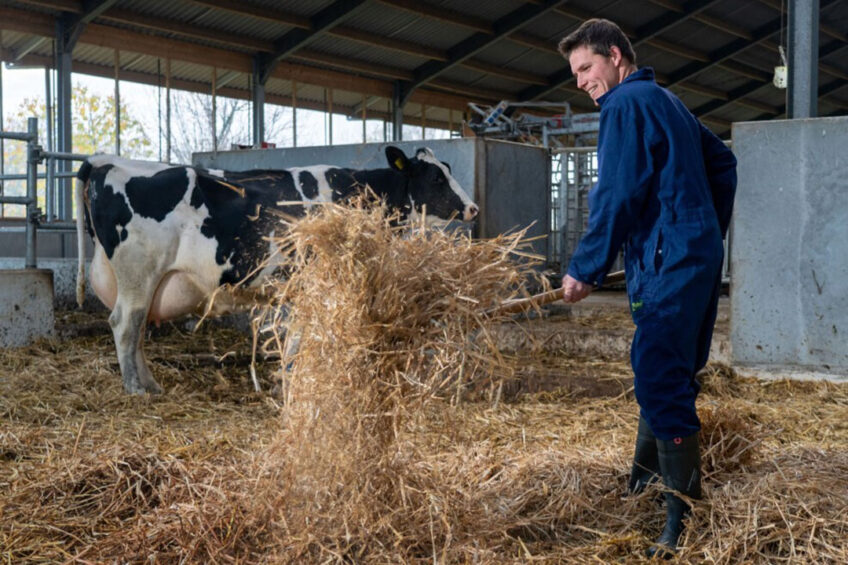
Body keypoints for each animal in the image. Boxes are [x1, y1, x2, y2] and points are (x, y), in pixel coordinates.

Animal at [74, 145, 476, 392]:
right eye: (436, 178)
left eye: (448, 170)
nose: (472, 208)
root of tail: (105, 160)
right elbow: (303, 341)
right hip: (138, 273)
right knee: (125, 326)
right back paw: (136, 388)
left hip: (146, 282)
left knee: (137, 330)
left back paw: (151, 383)